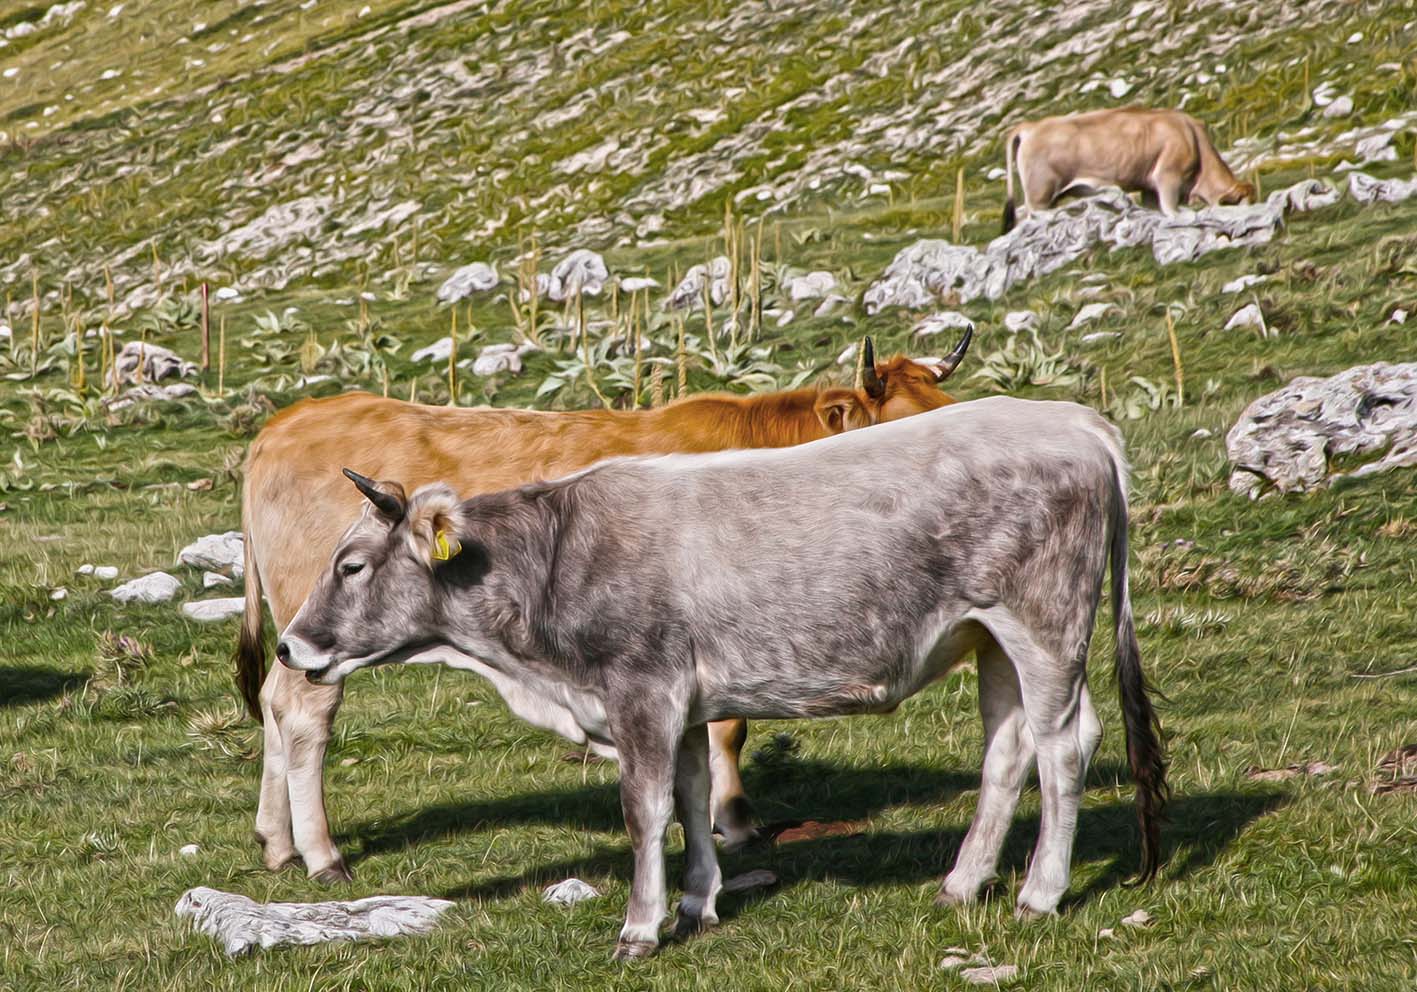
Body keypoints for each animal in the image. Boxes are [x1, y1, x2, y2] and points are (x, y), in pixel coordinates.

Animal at [240, 335, 974, 884]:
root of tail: (288, 420)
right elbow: (728, 726)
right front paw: (735, 821)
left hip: (299, 628)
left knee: (274, 703)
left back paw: (277, 843)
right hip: (324, 631)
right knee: (303, 713)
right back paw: (323, 856)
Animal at [273, 396, 1161, 963]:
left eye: (350, 565)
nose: (289, 645)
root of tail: (1075, 419)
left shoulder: (639, 691)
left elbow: (645, 809)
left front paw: (640, 928)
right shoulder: (688, 702)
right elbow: (694, 794)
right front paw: (699, 903)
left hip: (1044, 625)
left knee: (1063, 743)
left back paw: (1039, 891)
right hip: (988, 639)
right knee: (1008, 750)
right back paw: (962, 882)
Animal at [1003, 107, 1258, 233]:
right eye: (1240, 204)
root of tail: (1031, 126)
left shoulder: (1149, 187)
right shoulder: (1167, 176)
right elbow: (1171, 210)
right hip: (1040, 194)